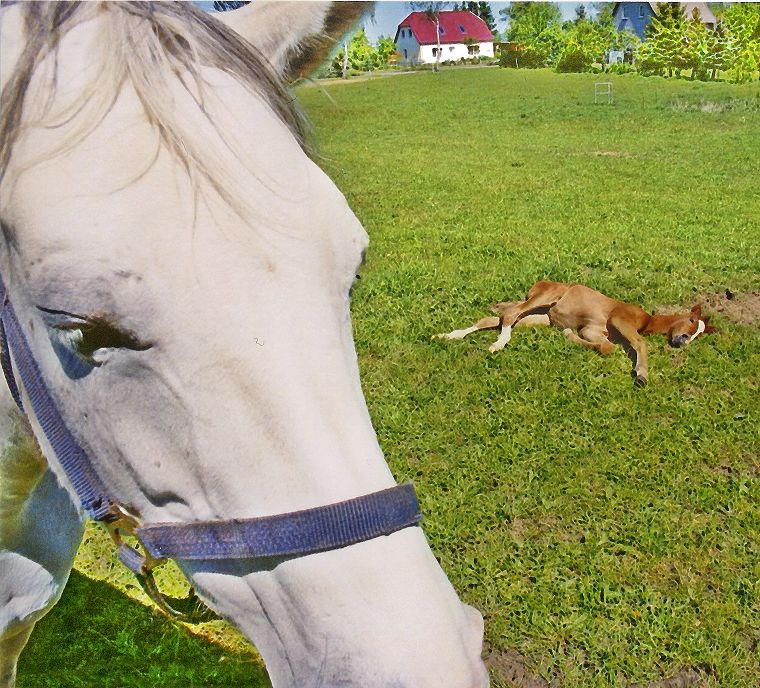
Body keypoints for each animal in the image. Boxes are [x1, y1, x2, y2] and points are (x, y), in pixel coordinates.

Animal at [436, 280, 716, 388]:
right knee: (509, 315)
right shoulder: (619, 319)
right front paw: (641, 376)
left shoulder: (592, 331)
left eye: (699, 334)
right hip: (542, 298)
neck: (646, 320)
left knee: (498, 318)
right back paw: (499, 344)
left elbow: (606, 346)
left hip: (538, 317)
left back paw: (446, 336)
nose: (682, 341)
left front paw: (569, 335)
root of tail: (537, 286)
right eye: (691, 322)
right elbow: (639, 342)